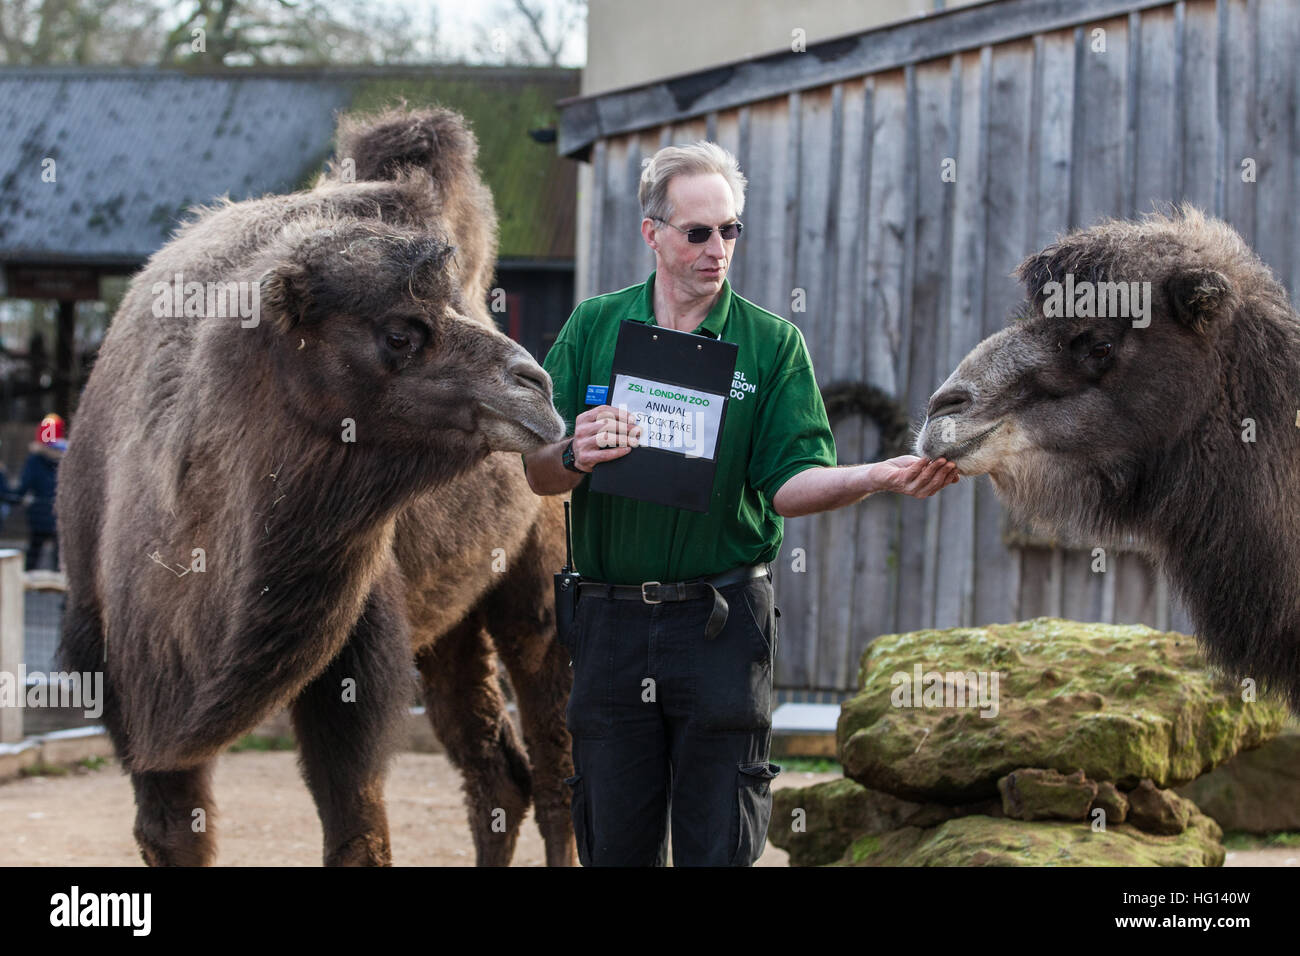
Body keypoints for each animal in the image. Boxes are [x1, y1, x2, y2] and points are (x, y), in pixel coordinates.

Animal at [59, 106, 579, 868]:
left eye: (452, 311)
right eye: (401, 334)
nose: (536, 387)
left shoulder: (354, 648)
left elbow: (356, 827)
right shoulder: (129, 696)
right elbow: (170, 832)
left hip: (539, 577)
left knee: (554, 764)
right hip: (448, 617)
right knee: (497, 774)